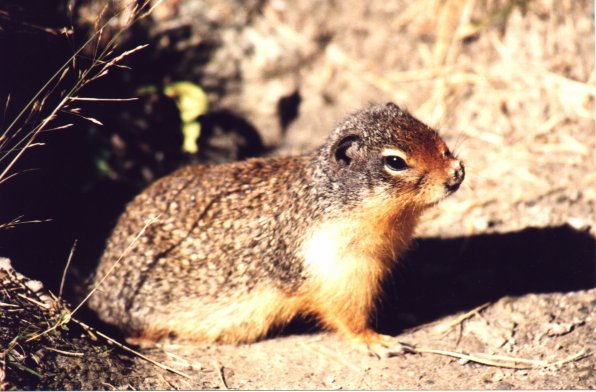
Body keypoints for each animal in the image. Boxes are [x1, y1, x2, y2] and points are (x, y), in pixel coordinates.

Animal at [88, 102, 466, 356]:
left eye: (429, 130)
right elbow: (349, 317)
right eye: (395, 161)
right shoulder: (341, 271)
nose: (456, 173)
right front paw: (378, 343)